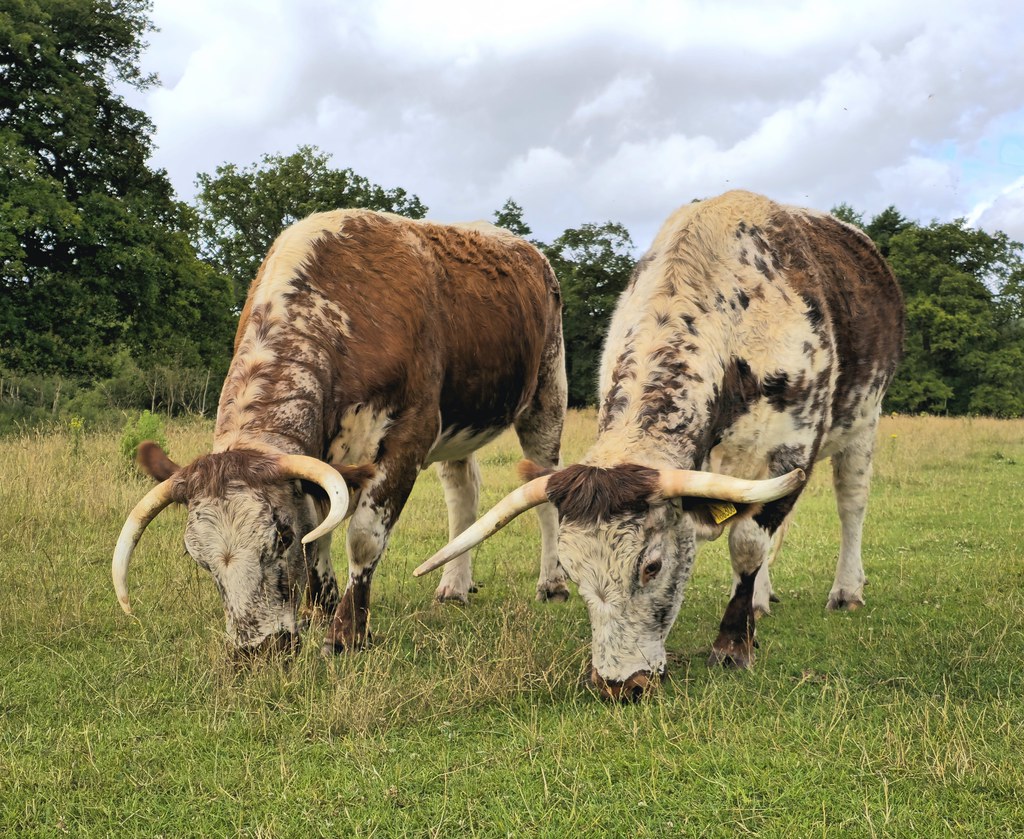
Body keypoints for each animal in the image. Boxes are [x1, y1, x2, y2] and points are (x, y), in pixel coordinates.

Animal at [112, 210, 568, 656]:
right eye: (196, 557)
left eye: (281, 537)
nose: (256, 649)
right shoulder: (317, 462)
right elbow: (319, 530)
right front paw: (320, 608)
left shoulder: (410, 436)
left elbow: (363, 537)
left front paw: (348, 632)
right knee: (463, 492)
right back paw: (454, 586)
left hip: (548, 394)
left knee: (544, 485)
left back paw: (552, 584)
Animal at [415, 190, 904, 702]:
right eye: (572, 572)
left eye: (651, 566)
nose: (618, 684)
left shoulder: (791, 447)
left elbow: (748, 543)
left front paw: (733, 644)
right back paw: (762, 600)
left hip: (863, 423)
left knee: (851, 506)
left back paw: (845, 591)